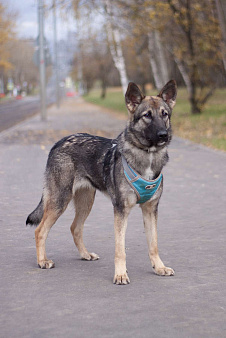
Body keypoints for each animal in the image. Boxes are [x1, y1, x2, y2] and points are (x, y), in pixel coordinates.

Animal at [26, 80, 177, 284]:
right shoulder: (121, 211)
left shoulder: (150, 210)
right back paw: (42, 261)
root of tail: (58, 143)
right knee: (40, 230)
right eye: (147, 115)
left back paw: (85, 254)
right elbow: (120, 249)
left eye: (164, 114)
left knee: (75, 228)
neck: (147, 156)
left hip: (86, 202)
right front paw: (120, 274)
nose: (163, 135)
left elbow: (153, 244)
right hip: (59, 201)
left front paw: (159, 268)